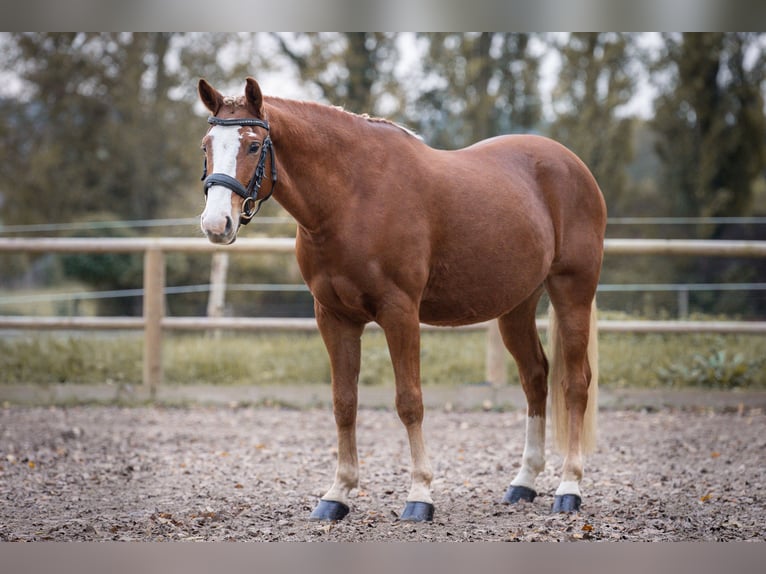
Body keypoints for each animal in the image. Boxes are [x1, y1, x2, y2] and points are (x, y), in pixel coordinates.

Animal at [196, 79, 608, 524]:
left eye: (254, 145)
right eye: (206, 145)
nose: (216, 224)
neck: (352, 196)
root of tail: (572, 165)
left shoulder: (400, 313)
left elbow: (409, 401)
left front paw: (420, 495)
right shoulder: (333, 317)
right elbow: (344, 402)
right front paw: (337, 494)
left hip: (572, 291)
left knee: (575, 383)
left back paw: (569, 488)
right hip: (517, 306)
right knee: (535, 377)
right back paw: (523, 483)